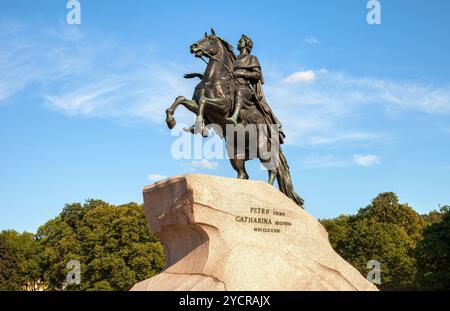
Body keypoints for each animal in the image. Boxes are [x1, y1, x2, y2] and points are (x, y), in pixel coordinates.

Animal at [163, 29, 304, 210]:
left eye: (209, 39)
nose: (193, 47)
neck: (213, 79)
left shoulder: (221, 106)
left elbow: (204, 101)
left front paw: (201, 127)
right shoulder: (195, 104)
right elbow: (180, 99)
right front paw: (172, 121)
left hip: (263, 149)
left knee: (273, 171)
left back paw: (269, 192)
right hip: (235, 154)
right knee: (244, 174)